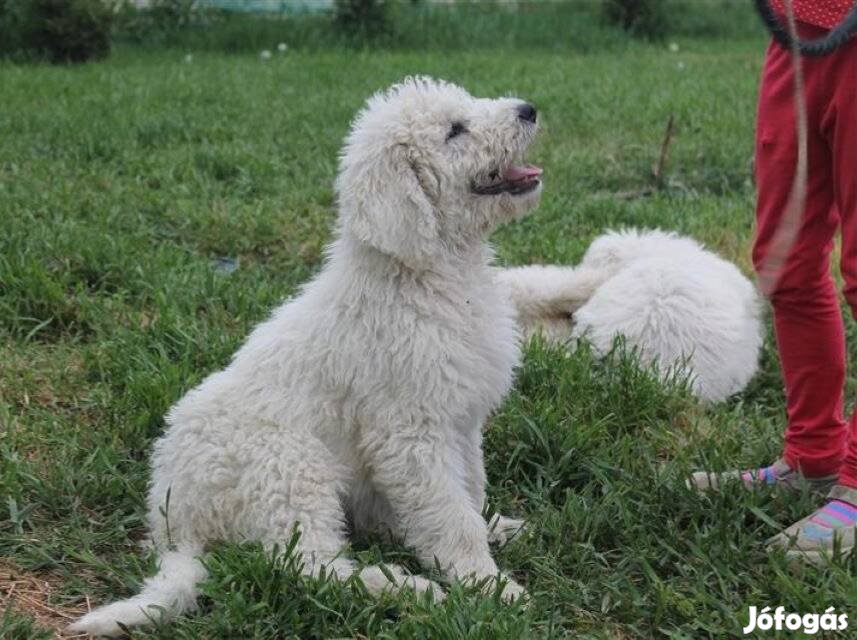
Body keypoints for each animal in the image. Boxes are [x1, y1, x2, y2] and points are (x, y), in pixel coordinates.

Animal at [68, 77, 540, 636]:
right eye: (455, 130)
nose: (529, 109)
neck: (427, 274)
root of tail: (175, 524)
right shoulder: (411, 430)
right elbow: (450, 514)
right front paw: (490, 587)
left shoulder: (462, 420)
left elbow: (471, 489)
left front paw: (493, 528)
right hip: (292, 469)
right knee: (310, 565)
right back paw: (407, 588)